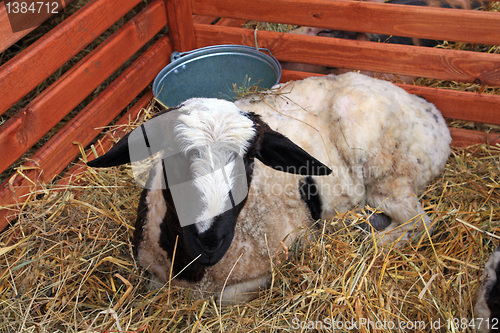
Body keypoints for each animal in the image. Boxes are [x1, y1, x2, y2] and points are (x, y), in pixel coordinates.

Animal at [88, 72, 452, 304]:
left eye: (249, 161)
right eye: (174, 157)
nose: (209, 240)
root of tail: (432, 114)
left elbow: (221, 297)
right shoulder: (152, 272)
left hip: (386, 169)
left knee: (419, 222)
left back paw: (365, 236)